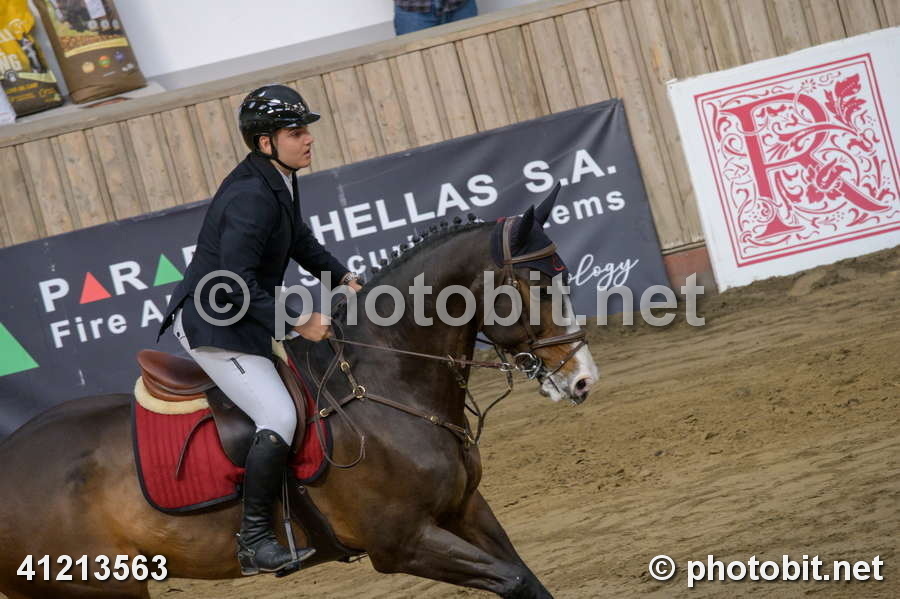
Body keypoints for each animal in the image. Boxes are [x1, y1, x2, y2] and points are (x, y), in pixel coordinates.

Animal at [0, 186, 599, 599]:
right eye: (538, 284)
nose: (582, 379)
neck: (386, 381)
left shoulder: (464, 508)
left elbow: (525, 578)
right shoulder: (402, 543)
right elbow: (513, 580)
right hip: (98, 586)